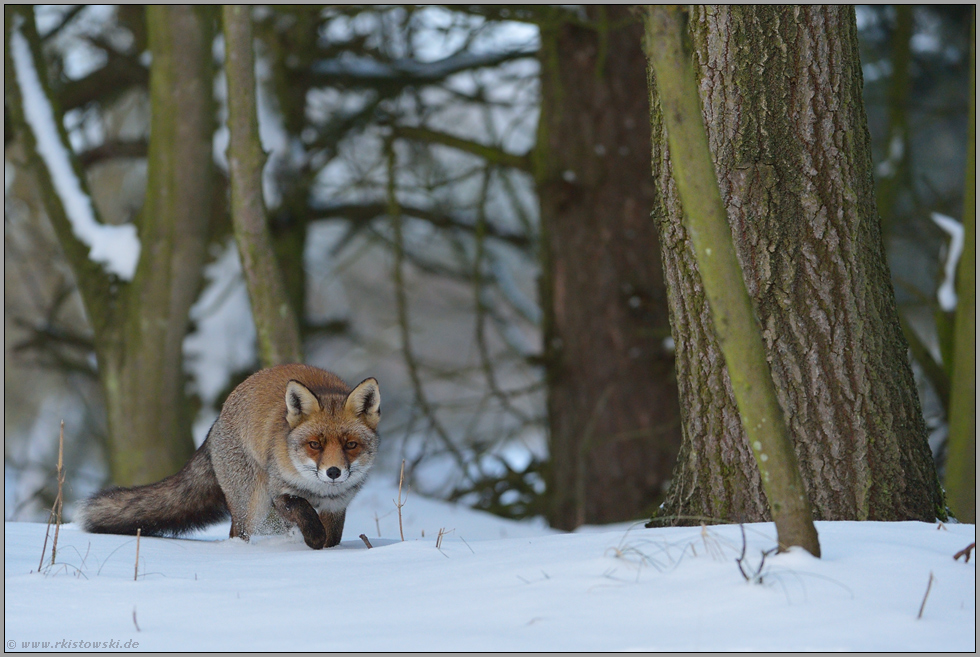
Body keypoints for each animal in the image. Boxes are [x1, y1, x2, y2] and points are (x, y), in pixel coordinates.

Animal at [79, 364, 381, 549]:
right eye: (315, 445)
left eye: (351, 445)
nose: (333, 472)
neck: (318, 490)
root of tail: (219, 417)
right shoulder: (280, 492)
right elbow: (302, 508)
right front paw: (314, 537)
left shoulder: (336, 506)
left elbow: (332, 537)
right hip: (251, 503)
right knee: (238, 533)